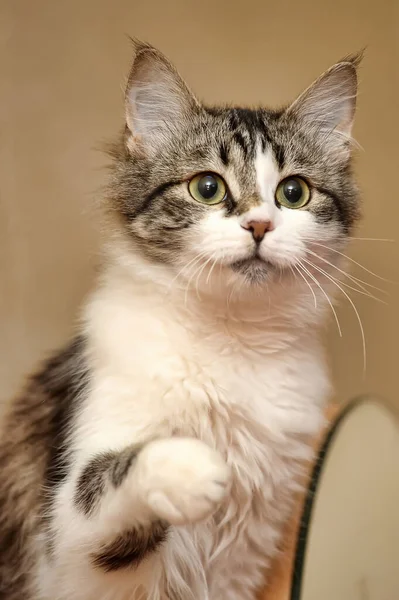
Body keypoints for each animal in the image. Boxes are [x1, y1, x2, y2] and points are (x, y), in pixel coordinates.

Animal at [0, 42, 362, 600]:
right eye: (208, 187)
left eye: (294, 193)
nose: (260, 225)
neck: (232, 337)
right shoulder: (67, 536)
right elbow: (115, 469)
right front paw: (194, 466)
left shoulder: (245, 556)